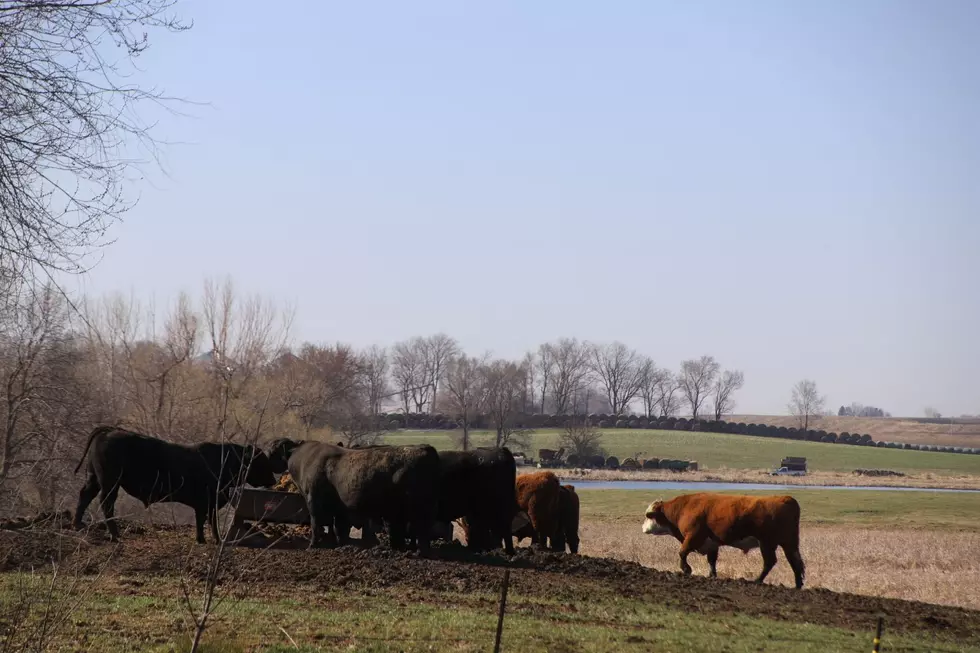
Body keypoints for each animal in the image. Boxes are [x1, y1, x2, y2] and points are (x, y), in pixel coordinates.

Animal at [73, 426, 276, 544]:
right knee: (106, 503)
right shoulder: (208, 501)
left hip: (94, 479)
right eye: (261, 461)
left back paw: (78, 525)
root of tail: (108, 431)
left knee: (85, 495)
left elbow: (204, 520)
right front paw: (213, 540)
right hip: (110, 483)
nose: (273, 480)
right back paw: (115, 535)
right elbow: (208, 520)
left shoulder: (206, 503)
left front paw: (205, 539)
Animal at [276, 436, 444, 552]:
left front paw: (313, 545)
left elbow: (316, 522)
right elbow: (337, 527)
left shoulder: (314, 500)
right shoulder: (339, 507)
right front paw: (339, 545)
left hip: (418, 508)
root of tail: (425, 448)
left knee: (419, 530)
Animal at [644, 492, 804, 588]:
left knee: (770, 562)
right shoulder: (712, 543)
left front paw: (686, 569)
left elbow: (682, 553)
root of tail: (785, 498)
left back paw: (757, 580)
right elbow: (712, 560)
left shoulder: (693, 537)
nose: (643, 528)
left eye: (648, 516)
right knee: (795, 562)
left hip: (767, 543)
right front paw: (712, 576)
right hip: (789, 544)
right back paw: (798, 585)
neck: (683, 508)